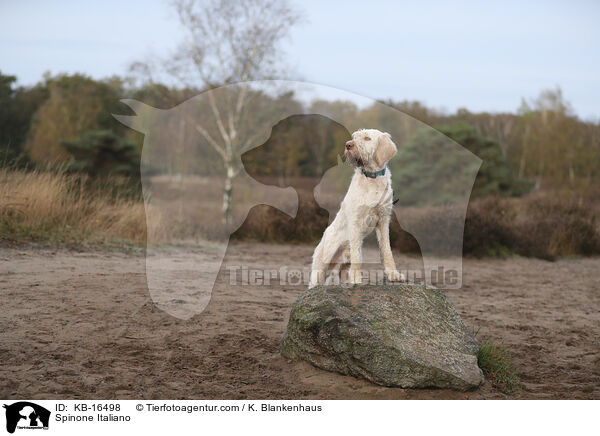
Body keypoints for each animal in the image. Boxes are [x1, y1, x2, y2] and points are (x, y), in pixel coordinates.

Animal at [310, 127, 404, 288]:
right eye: (354, 137)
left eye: (367, 138)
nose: (348, 145)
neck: (372, 179)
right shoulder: (355, 220)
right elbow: (357, 257)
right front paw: (357, 280)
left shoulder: (383, 220)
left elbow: (386, 250)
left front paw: (393, 275)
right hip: (321, 265)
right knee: (313, 283)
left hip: (341, 266)